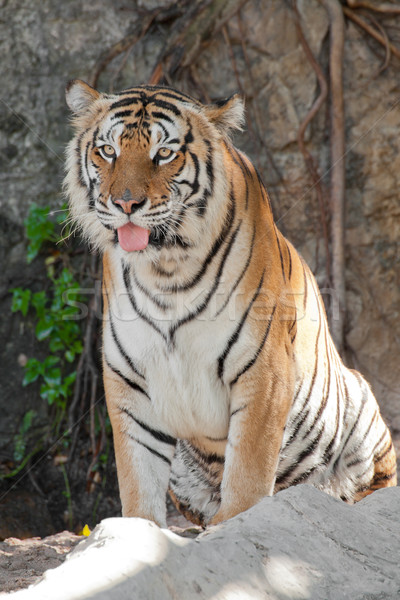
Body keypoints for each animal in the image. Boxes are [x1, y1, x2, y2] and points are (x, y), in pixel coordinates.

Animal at [64, 78, 396, 524]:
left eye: (164, 153)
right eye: (108, 151)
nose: (125, 204)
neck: (165, 270)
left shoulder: (262, 371)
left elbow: (248, 472)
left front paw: (237, 520)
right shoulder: (129, 381)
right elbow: (137, 480)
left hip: (359, 406)